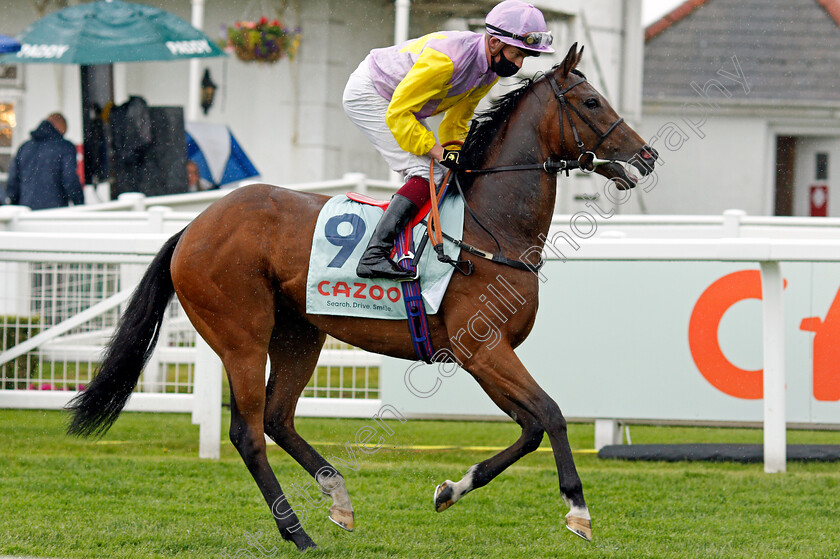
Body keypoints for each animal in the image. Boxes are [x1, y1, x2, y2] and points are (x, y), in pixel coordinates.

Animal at [67, 43, 656, 552]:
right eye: (591, 101)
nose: (646, 155)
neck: (492, 229)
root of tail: (193, 227)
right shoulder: (484, 350)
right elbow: (551, 415)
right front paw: (577, 511)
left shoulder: (485, 356)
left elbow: (533, 426)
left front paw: (451, 489)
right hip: (240, 335)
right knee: (248, 433)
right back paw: (297, 532)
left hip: (299, 334)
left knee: (278, 419)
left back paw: (338, 498)